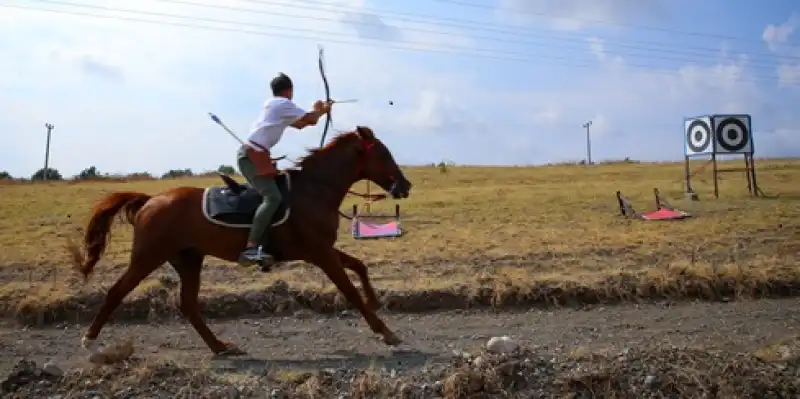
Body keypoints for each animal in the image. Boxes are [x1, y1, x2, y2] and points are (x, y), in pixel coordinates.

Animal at [67, 126, 412, 354]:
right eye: (384, 153)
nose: (405, 185)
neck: (314, 190)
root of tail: (151, 200)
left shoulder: (322, 250)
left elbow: (360, 266)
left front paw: (376, 301)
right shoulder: (320, 253)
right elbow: (350, 291)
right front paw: (386, 332)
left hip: (189, 259)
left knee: (188, 304)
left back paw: (219, 346)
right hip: (148, 257)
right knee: (117, 291)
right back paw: (89, 338)